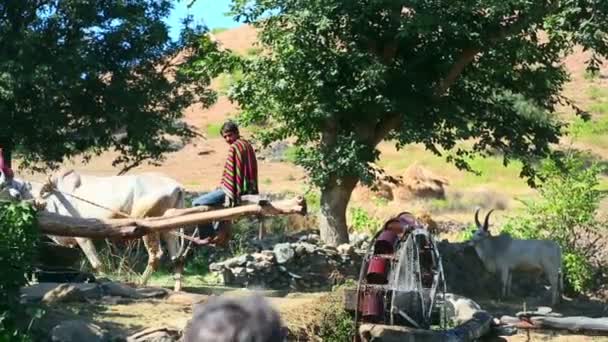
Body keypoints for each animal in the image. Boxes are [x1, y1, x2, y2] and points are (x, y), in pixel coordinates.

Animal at [0, 170, 188, 290]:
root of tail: (177, 186)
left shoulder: (82, 236)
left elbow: (97, 264)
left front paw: (106, 280)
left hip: (148, 224)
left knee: (156, 255)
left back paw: (141, 283)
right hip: (170, 227)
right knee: (176, 257)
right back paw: (177, 288)